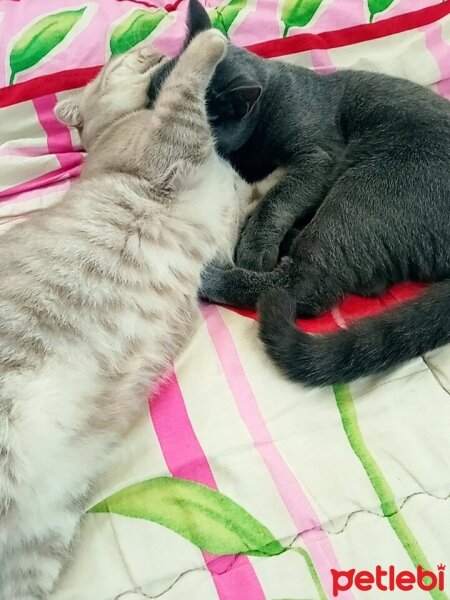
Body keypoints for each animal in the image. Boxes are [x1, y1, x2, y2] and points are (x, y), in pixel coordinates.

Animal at [0, 29, 250, 600]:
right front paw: (210, 38)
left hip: (37, 545)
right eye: (117, 59)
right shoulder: (169, 143)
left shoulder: (227, 228)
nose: (148, 46)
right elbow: (185, 91)